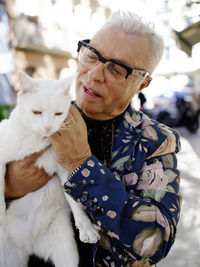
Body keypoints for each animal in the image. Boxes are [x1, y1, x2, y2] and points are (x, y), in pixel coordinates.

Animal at [0, 71, 99, 267]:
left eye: (58, 113)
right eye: (36, 112)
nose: (47, 127)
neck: (38, 139)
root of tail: (29, 243)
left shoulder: (66, 172)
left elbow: (75, 201)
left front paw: (86, 227)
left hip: (66, 251)